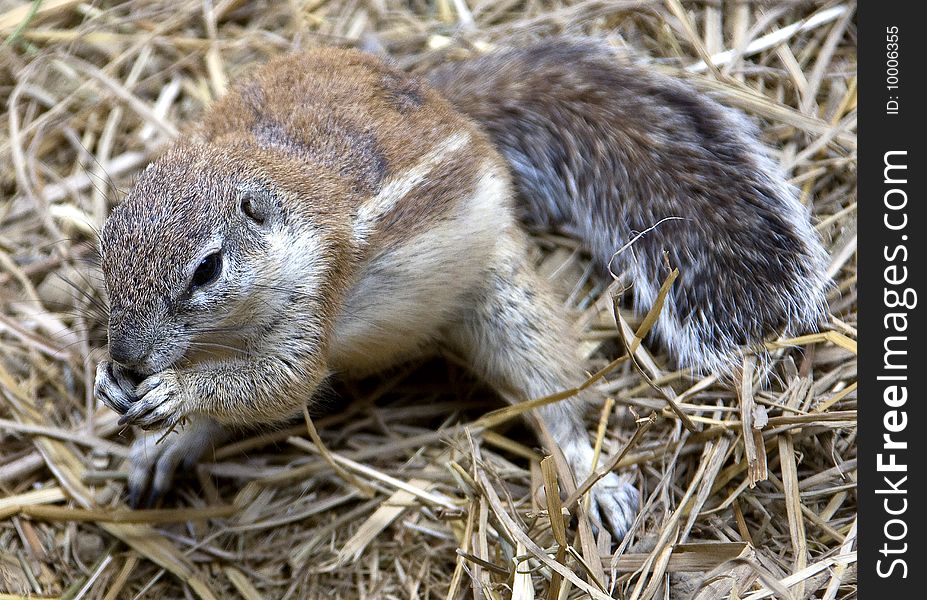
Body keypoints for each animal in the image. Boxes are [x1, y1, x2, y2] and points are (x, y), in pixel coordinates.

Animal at [94, 39, 832, 536]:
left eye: (207, 269)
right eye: (103, 244)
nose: (127, 357)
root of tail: (451, 104)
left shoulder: (312, 302)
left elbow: (280, 384)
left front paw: (176, 394)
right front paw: (120, 392)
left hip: (506, 302)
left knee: (551, 397)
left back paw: (589, 475)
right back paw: (162, 450)